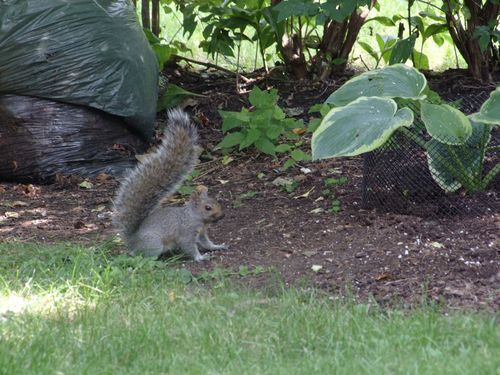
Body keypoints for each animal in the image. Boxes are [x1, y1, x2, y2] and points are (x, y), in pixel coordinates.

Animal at [112, 108, 228, 262]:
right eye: (207, 208)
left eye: (216, 201)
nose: (222, 215)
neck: (196, 218)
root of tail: (133, 242)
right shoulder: (186, 232)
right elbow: (189, 247)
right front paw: (200, 257)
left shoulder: (202, 233)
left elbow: (206, 243)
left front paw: (217, 246)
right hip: (154, 244)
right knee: (143, 256)